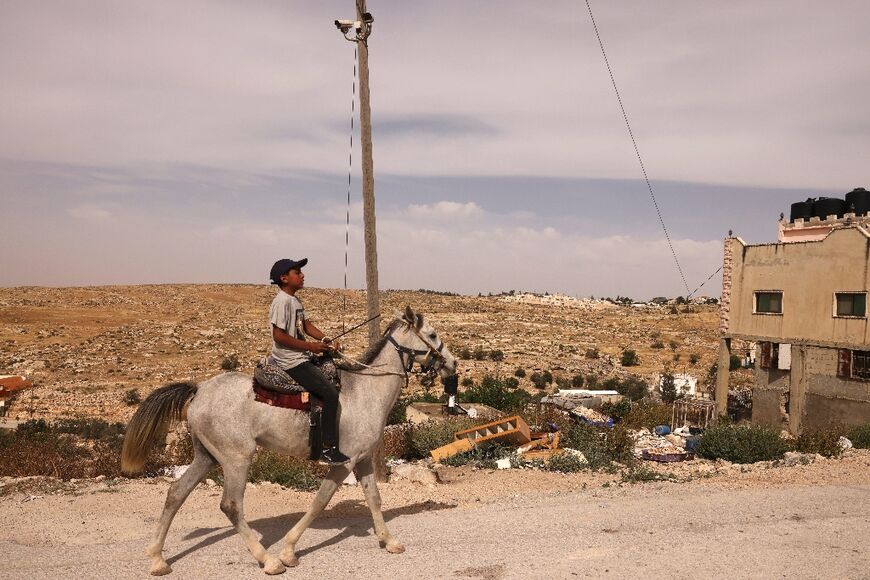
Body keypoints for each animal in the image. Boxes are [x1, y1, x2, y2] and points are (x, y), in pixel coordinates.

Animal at [124, 308, 464, 576]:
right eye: (432, 334)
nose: (452, 363)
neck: (364, 391)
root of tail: (199, 390)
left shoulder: (364, 460)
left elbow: (374, 499)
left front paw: (389, 541)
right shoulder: (343, 463)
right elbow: (319, 502)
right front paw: (288, 551)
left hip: (206, 456)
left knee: (175, 493)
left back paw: (157, 559)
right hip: (237, 458)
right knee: (231, 505)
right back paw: (268, 560)